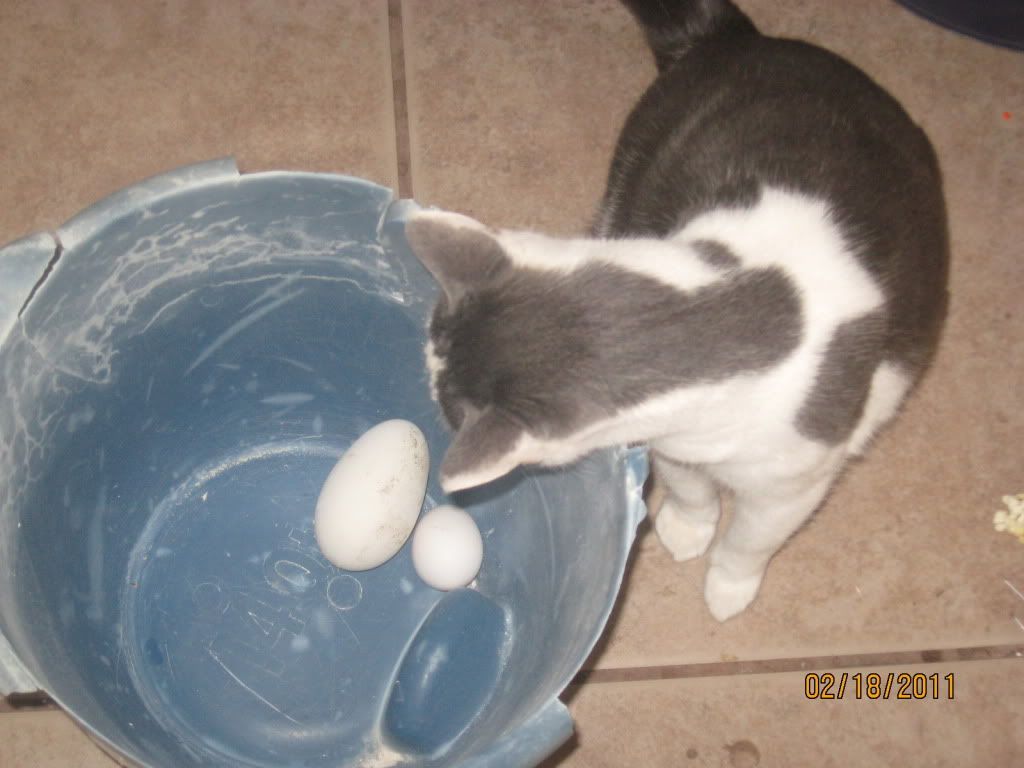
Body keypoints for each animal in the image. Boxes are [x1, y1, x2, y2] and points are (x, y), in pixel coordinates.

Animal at [404, 0, 949, 621]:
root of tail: (739, 38)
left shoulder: (794, 481)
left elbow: (752, 539)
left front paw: (729, 585)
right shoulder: (667, 441)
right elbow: (691, 489)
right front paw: (688, 528)